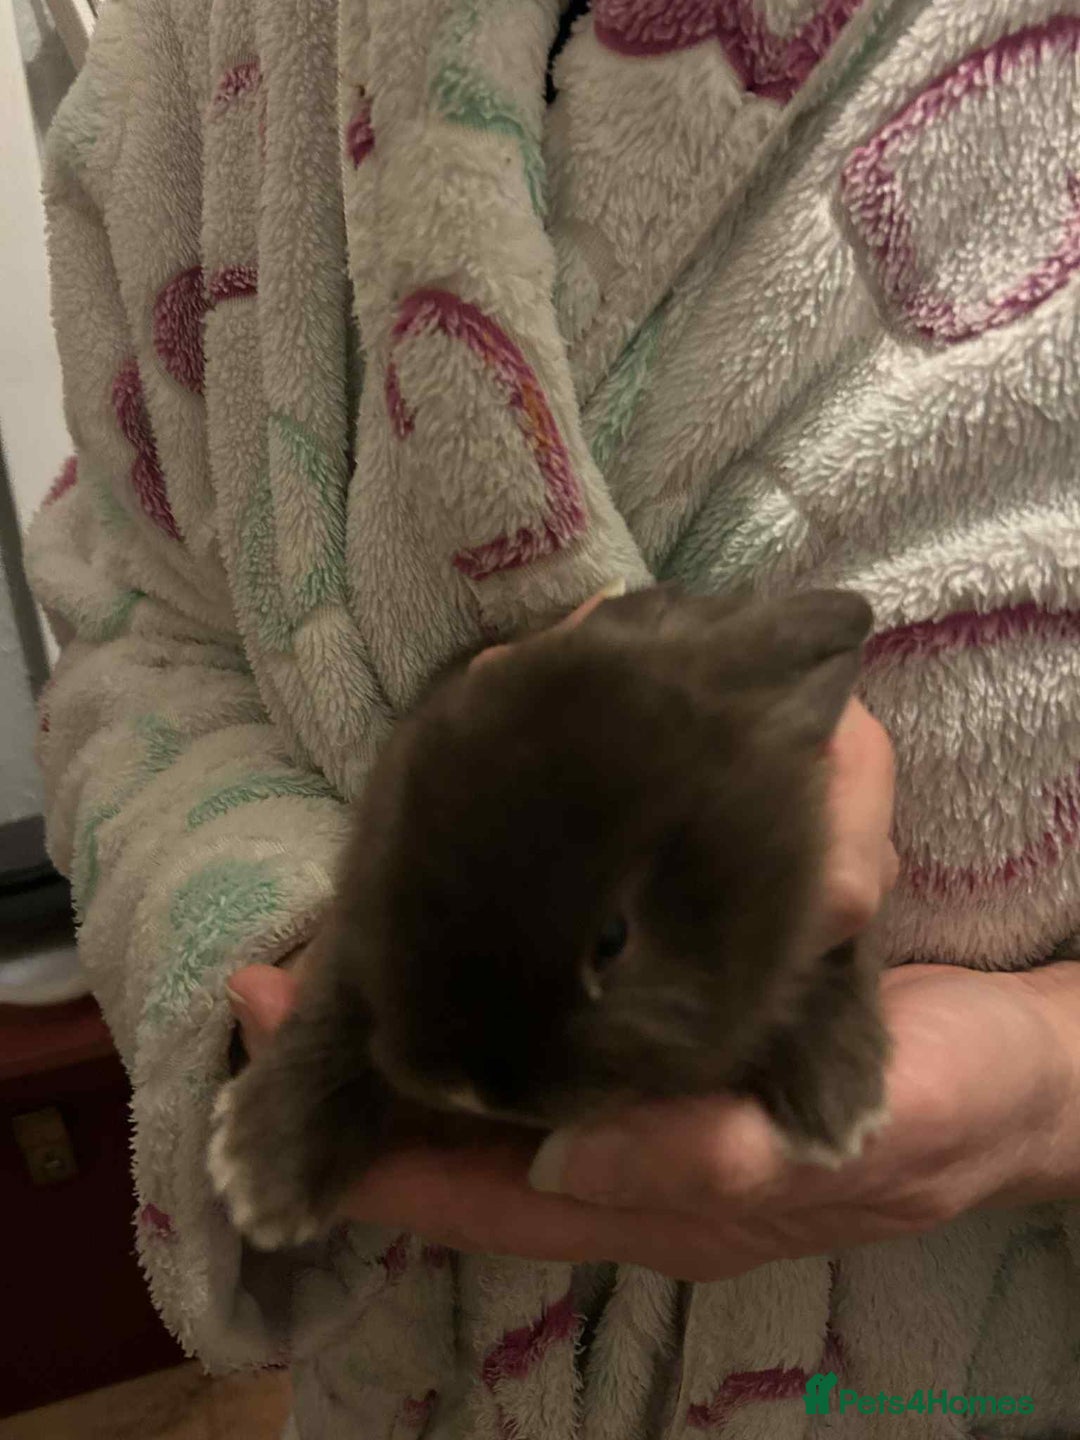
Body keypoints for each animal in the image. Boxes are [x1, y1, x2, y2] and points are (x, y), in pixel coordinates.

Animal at [209, 585, 890, 1249]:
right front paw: (257, 1177)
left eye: (613, 940)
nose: (465, 1087)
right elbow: (337, 1014)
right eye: (400, 856)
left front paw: (840, 1107)